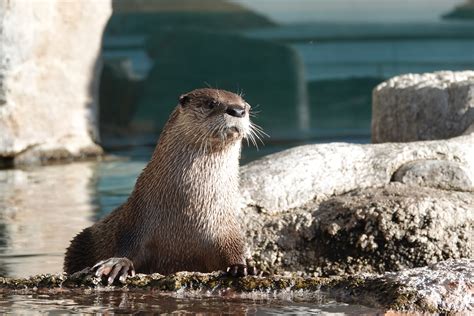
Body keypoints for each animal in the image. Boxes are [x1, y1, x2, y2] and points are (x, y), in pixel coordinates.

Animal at [64, 87, 262, 282]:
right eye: (211, 103)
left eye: (246, 106)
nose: (238, 110)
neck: (187, 209)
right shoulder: (136, 219)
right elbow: (127, 246)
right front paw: (117, 264)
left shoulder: (225, 227)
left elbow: (232, 249)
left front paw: (242, 266)